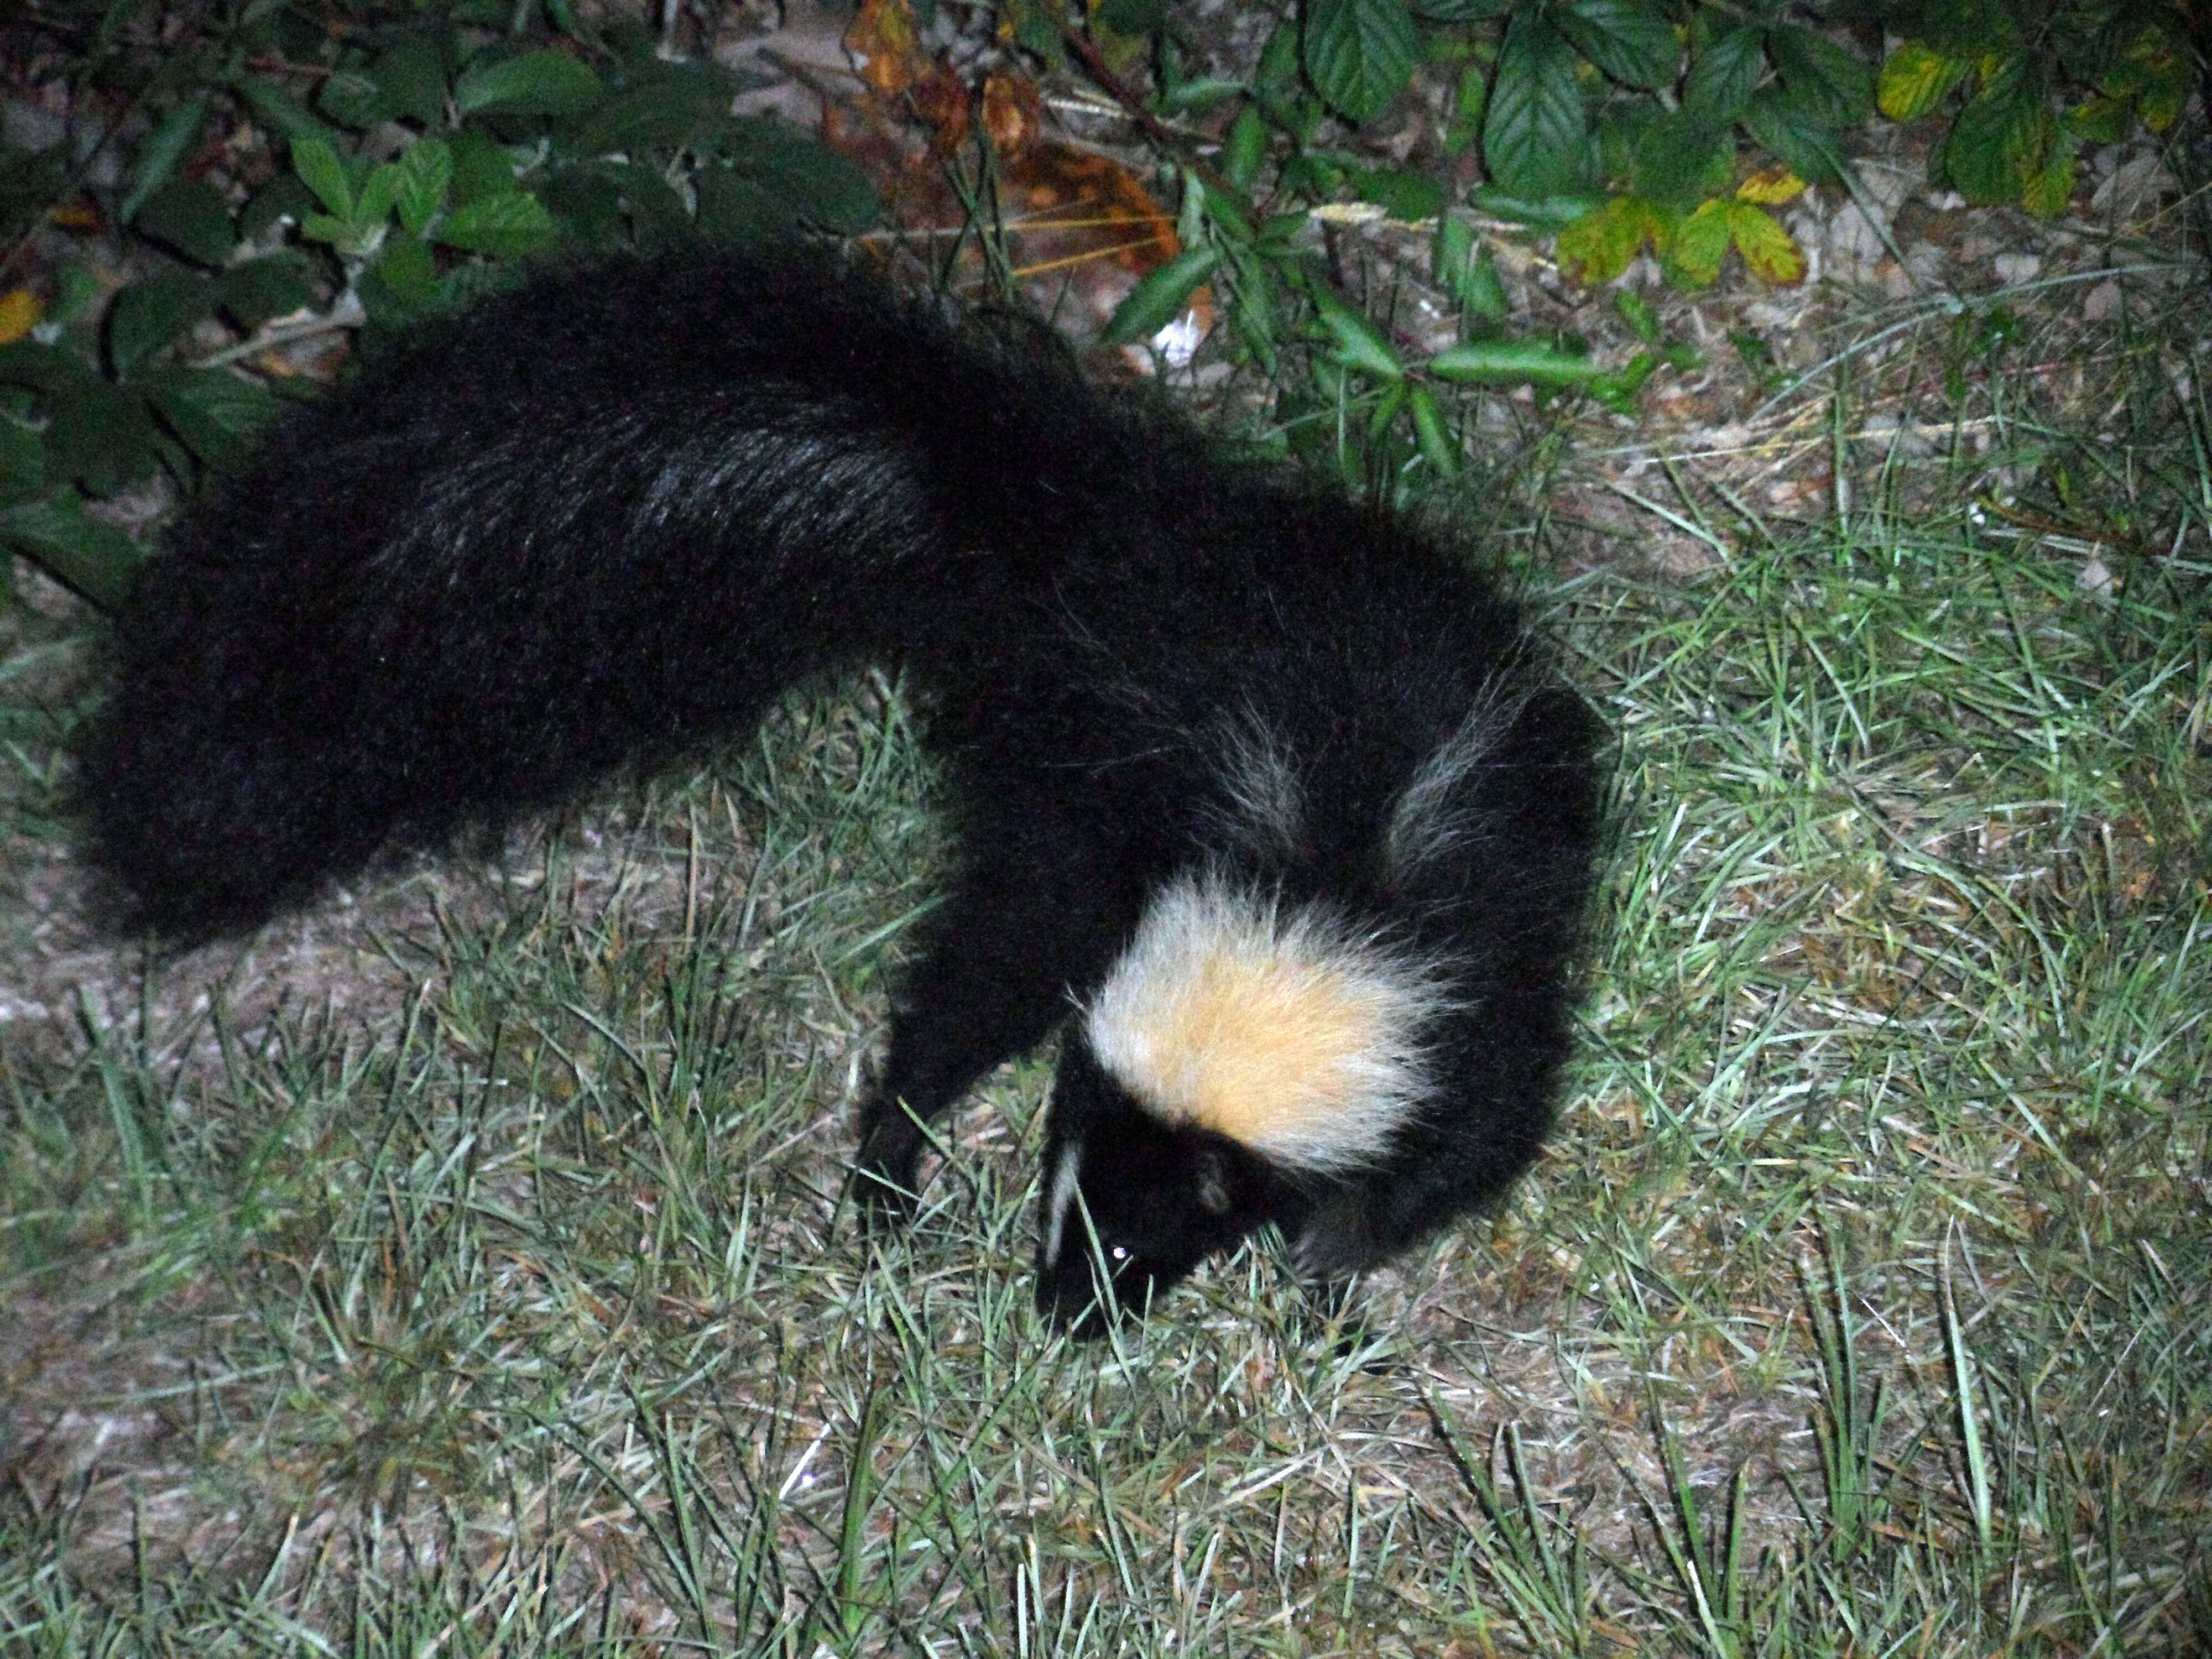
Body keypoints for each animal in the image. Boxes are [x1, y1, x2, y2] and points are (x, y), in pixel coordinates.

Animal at [82, 250, 1610, 1336]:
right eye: (1063, 1203)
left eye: (1142, 1234)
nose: (1064, 1316)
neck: (1320, 857)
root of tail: (1063, 529)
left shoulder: (1471, 955)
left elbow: (1483, 1118)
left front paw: (1336, 1254)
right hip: (1063, 776)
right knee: (990, 963)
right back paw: (893, 1145)